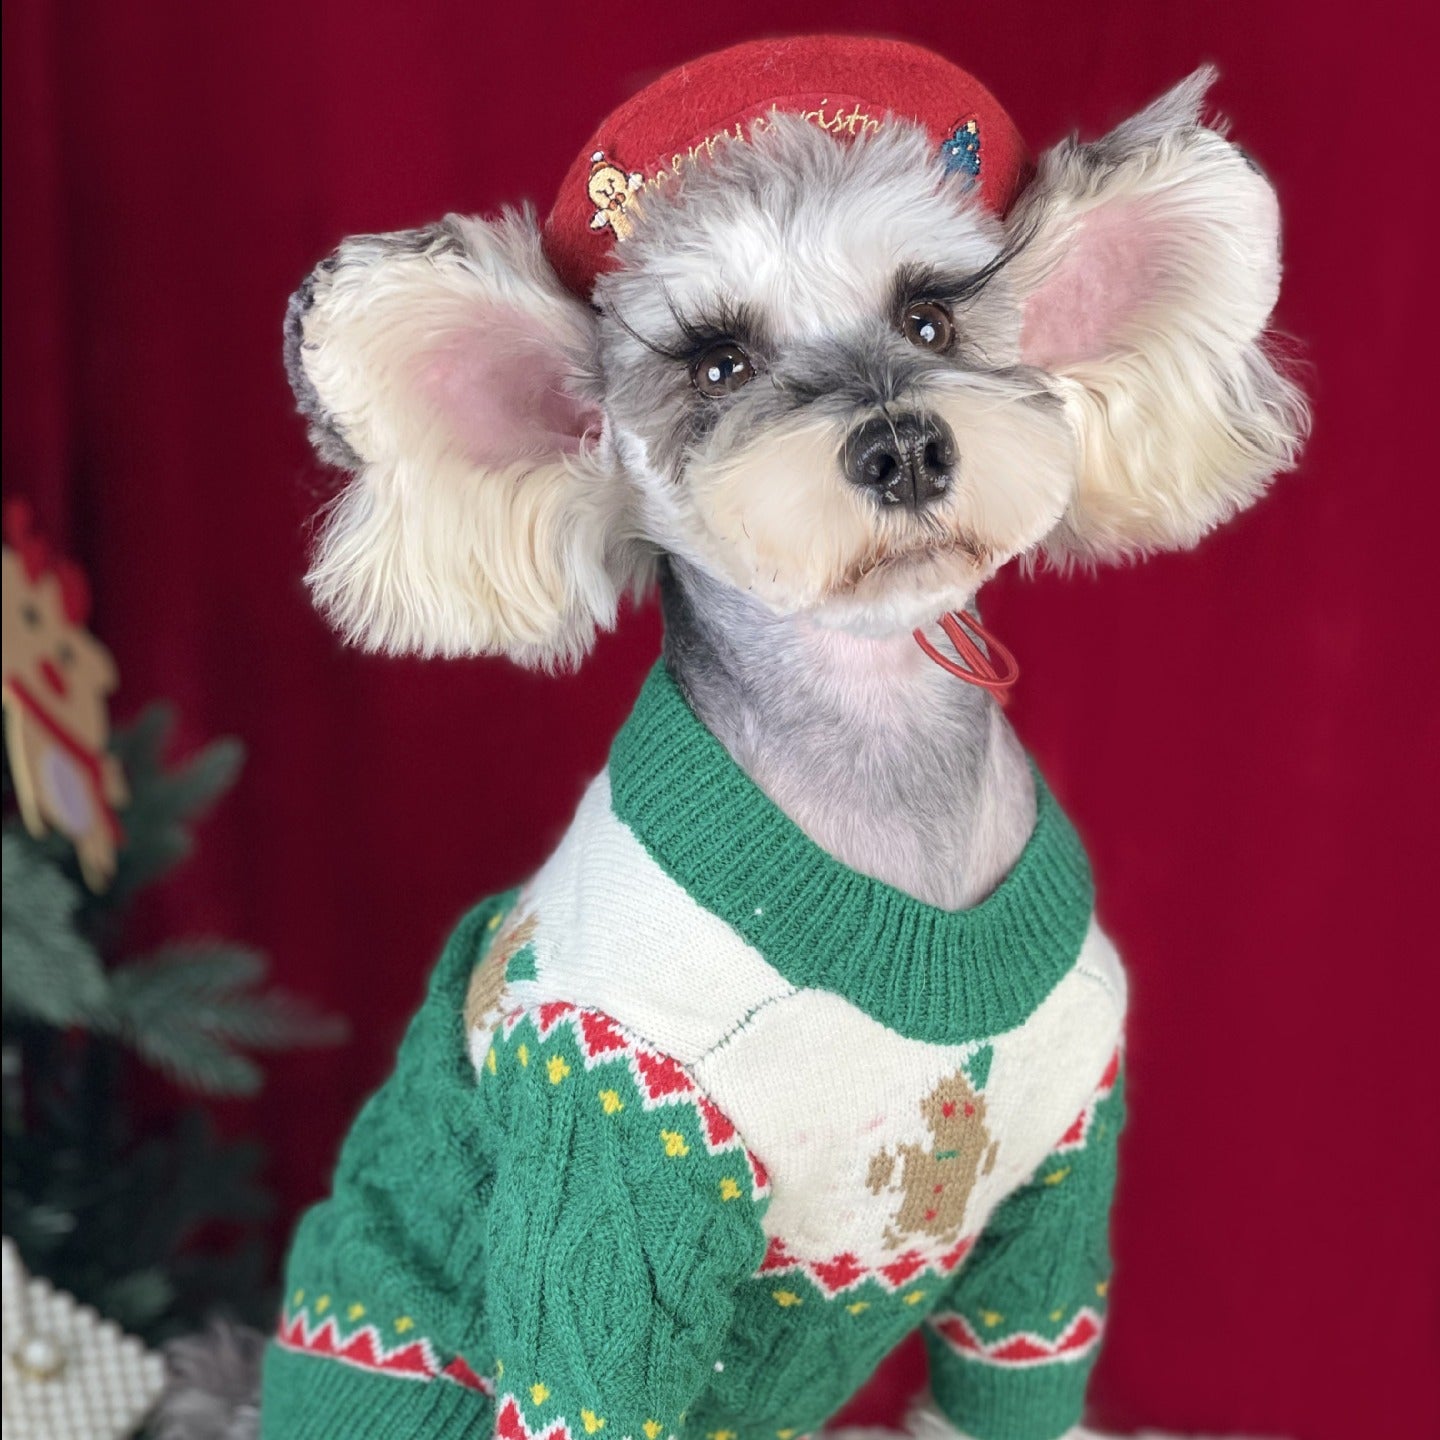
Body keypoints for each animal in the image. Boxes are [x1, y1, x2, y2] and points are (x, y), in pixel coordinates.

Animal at [157, 61, 1307, 1440]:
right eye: (716, 361)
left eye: (932, 317)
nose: (904, 445)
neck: (882, 782)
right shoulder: (612, 1166)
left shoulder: (1056, 1205)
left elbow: (1017, 1375)